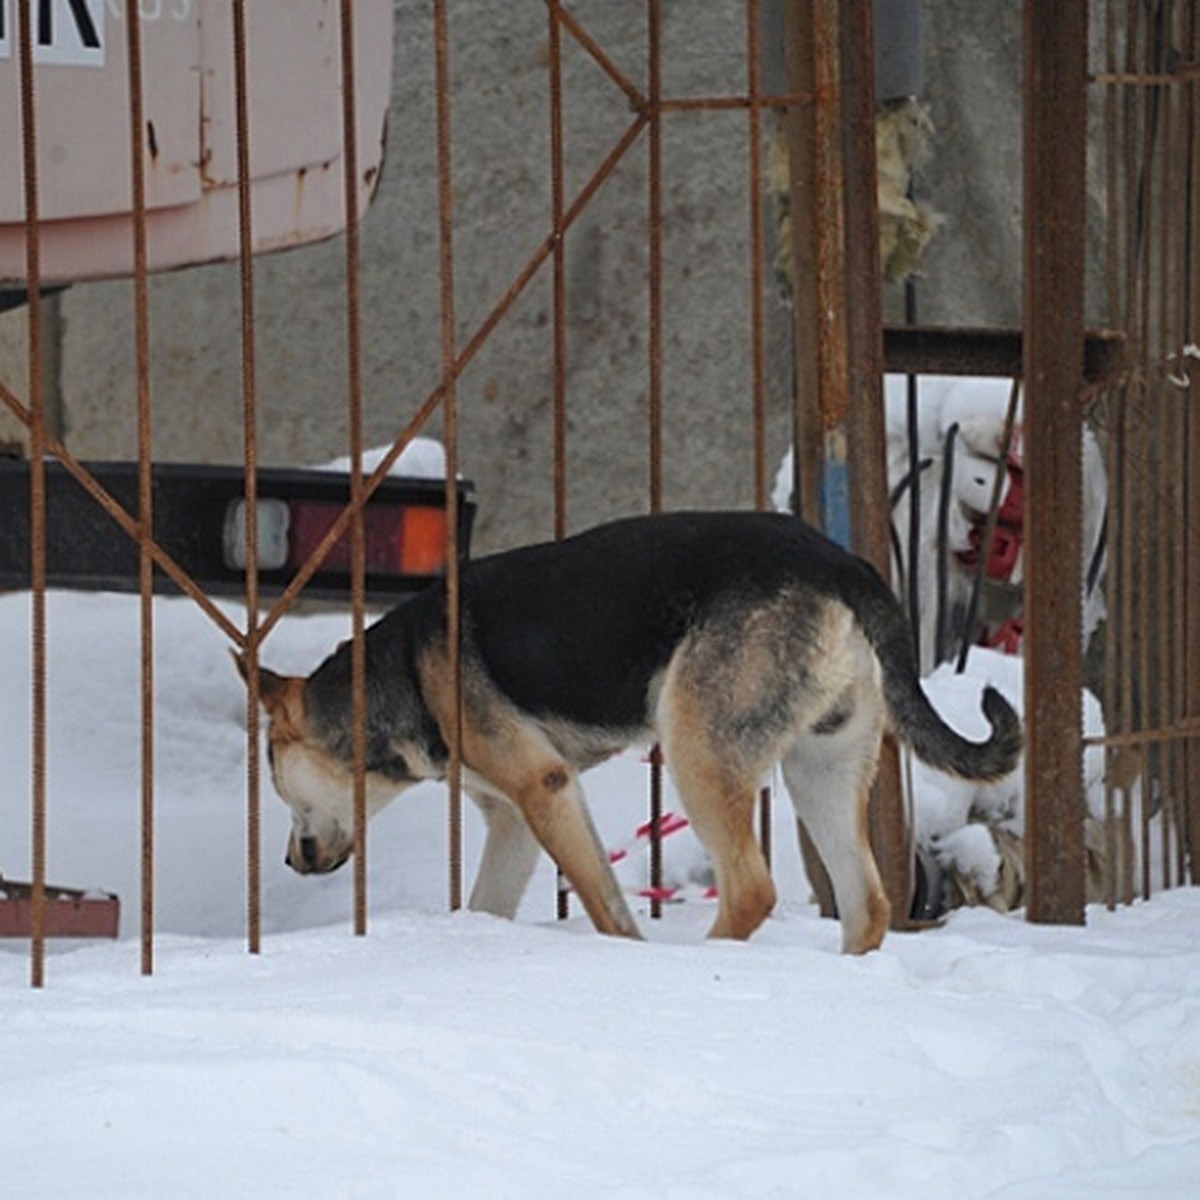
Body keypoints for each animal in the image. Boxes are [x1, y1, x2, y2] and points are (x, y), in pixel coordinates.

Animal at [241, 511, 1022, 950]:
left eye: (278, 784)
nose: (289, 861)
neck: (400, 670)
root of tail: (843, 567)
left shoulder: (544, 791)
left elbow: (604, 903)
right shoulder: (514, 820)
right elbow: (493, 901)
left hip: (699, 750)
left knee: (753, 890)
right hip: (821, 770)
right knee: (869, 905)